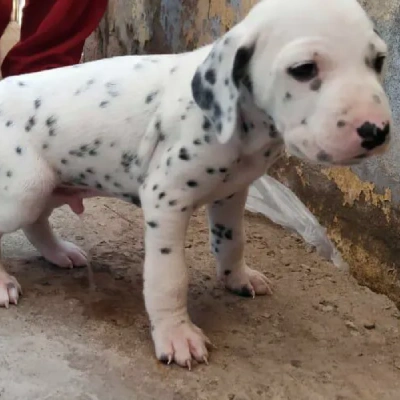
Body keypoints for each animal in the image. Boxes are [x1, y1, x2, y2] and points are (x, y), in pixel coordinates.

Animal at [0, 0, 390, 368]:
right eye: (304, 69)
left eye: (379, 61)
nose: (377, 131)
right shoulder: (166, 200)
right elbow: (169, 276)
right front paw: (176, 335)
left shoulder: (233, 193)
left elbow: (232, 241)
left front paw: (238, 278)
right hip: (26, 190)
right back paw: (3, 283)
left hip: (50, 186)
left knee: (37, 222)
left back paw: (59, 253)